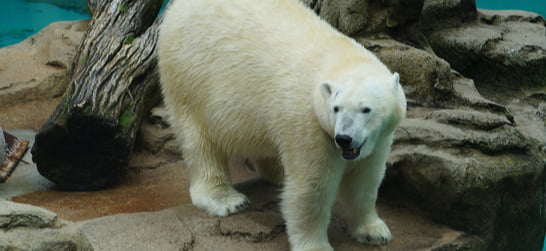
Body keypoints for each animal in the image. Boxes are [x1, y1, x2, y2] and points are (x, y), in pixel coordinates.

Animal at [157, 0, 404, 250]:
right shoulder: (311, 124)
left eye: (366, 109)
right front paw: (316, 245)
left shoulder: (379, 137)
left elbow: (366, 180)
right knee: (200, 141)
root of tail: (176, 8)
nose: (344, 139)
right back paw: (227, 199)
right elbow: (311, 188)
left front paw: (374, 232)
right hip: (189, 77)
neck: (340, 57)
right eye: (336, 108)